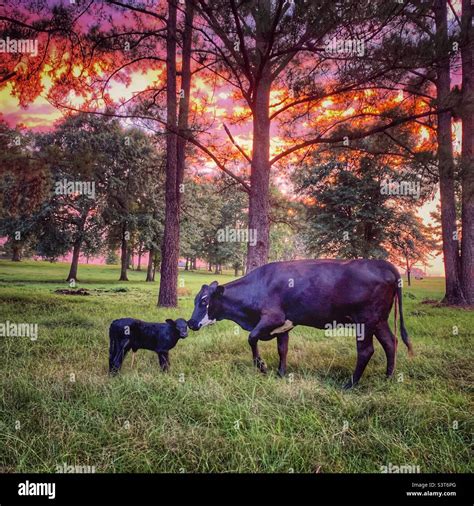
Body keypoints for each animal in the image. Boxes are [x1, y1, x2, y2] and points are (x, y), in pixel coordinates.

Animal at [188, 258, 412, 390]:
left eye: (204, 301)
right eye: (196, 299)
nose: (190, 323)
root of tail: (380, 262)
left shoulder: (272, 318)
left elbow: (251, 338)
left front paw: (262, 367)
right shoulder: (284, 326)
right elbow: (282, 349)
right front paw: (280, 373)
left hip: (364, 321)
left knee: (366, 351)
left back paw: (350, 384)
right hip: (379, 320)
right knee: (390, 342)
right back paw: (388, 378)